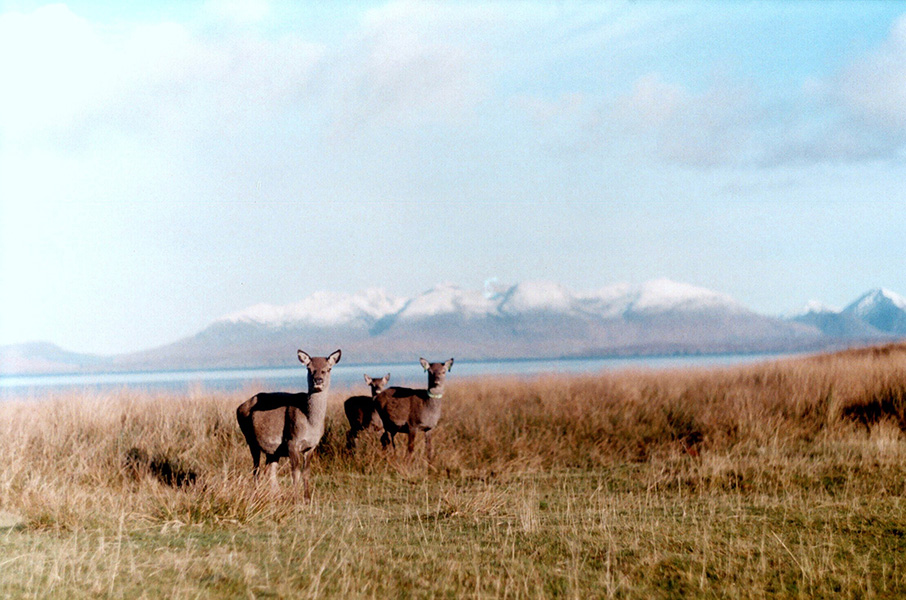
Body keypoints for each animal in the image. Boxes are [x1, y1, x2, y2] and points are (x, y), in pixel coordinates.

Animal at [235, 350, 340, 500]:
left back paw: (274, 496)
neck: (311, 424)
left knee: (269, 471)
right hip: (251, 440)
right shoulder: (292, 442)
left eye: (328, 368)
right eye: (309, 368)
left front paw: (307, 498)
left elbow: (306, 472)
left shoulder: (312, 446)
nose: (318, 380)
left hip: (273, 451)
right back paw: (257, 494)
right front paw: (296, 499)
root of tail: (239, 408)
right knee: (256, 470)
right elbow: (295, 472)